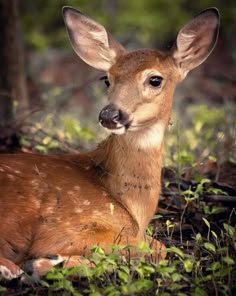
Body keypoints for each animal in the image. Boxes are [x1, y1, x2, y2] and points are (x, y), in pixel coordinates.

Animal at [0, 6, 219, 280]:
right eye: (106, 78)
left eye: (155, 79)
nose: (110, 114)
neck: (132, 206)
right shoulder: (64, 228)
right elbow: (156, 248)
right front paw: (46, 261)